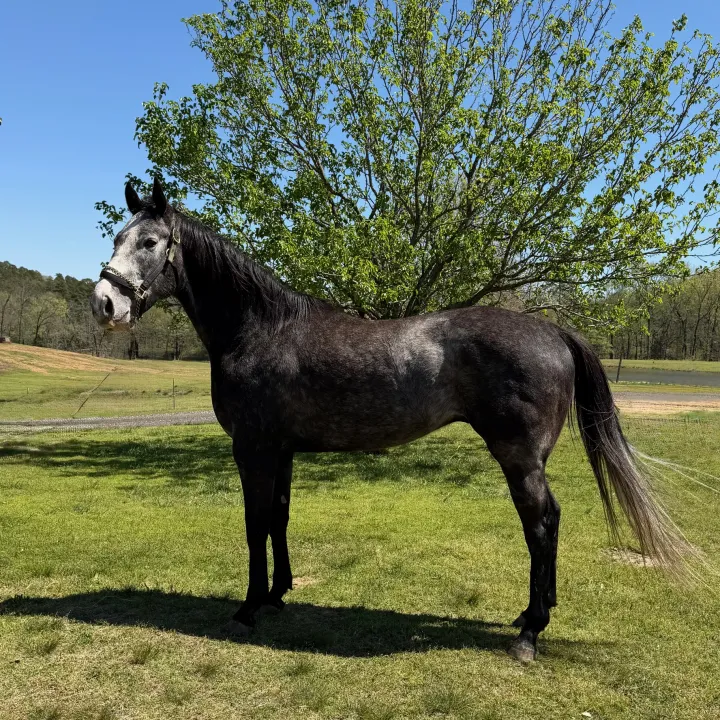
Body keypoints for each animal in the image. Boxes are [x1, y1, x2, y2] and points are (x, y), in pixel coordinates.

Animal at [91, 178, 686, 662]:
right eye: (116, 237)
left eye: (149, 243)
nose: (104, 304)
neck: (260, 329)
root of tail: (554, 331)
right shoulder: (281, 450)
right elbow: (279, 518)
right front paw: (279, 594)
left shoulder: (252, 449)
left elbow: (254, 523)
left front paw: (248, 608)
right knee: (550, 523)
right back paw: (532, 613)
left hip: (519, 458)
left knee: (540, 524)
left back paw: (529, 633)